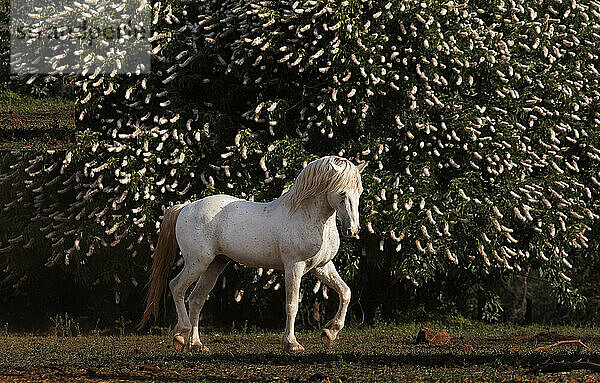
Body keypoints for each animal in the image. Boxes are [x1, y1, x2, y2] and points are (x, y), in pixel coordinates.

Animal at [141, 156, 366, 354]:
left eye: (360, 191)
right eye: (342, 193)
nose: (353, 230)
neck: (308, 216)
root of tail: (186, 207)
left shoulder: (322, 267)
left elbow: (345, 292)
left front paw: (330, 333)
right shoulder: (294, 266)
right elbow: (292, 305)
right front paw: (292, 344)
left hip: (215, 264)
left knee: (196, 299)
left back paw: (195, 344)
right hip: (197, 263)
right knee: (177, 287)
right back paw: (180, 335)